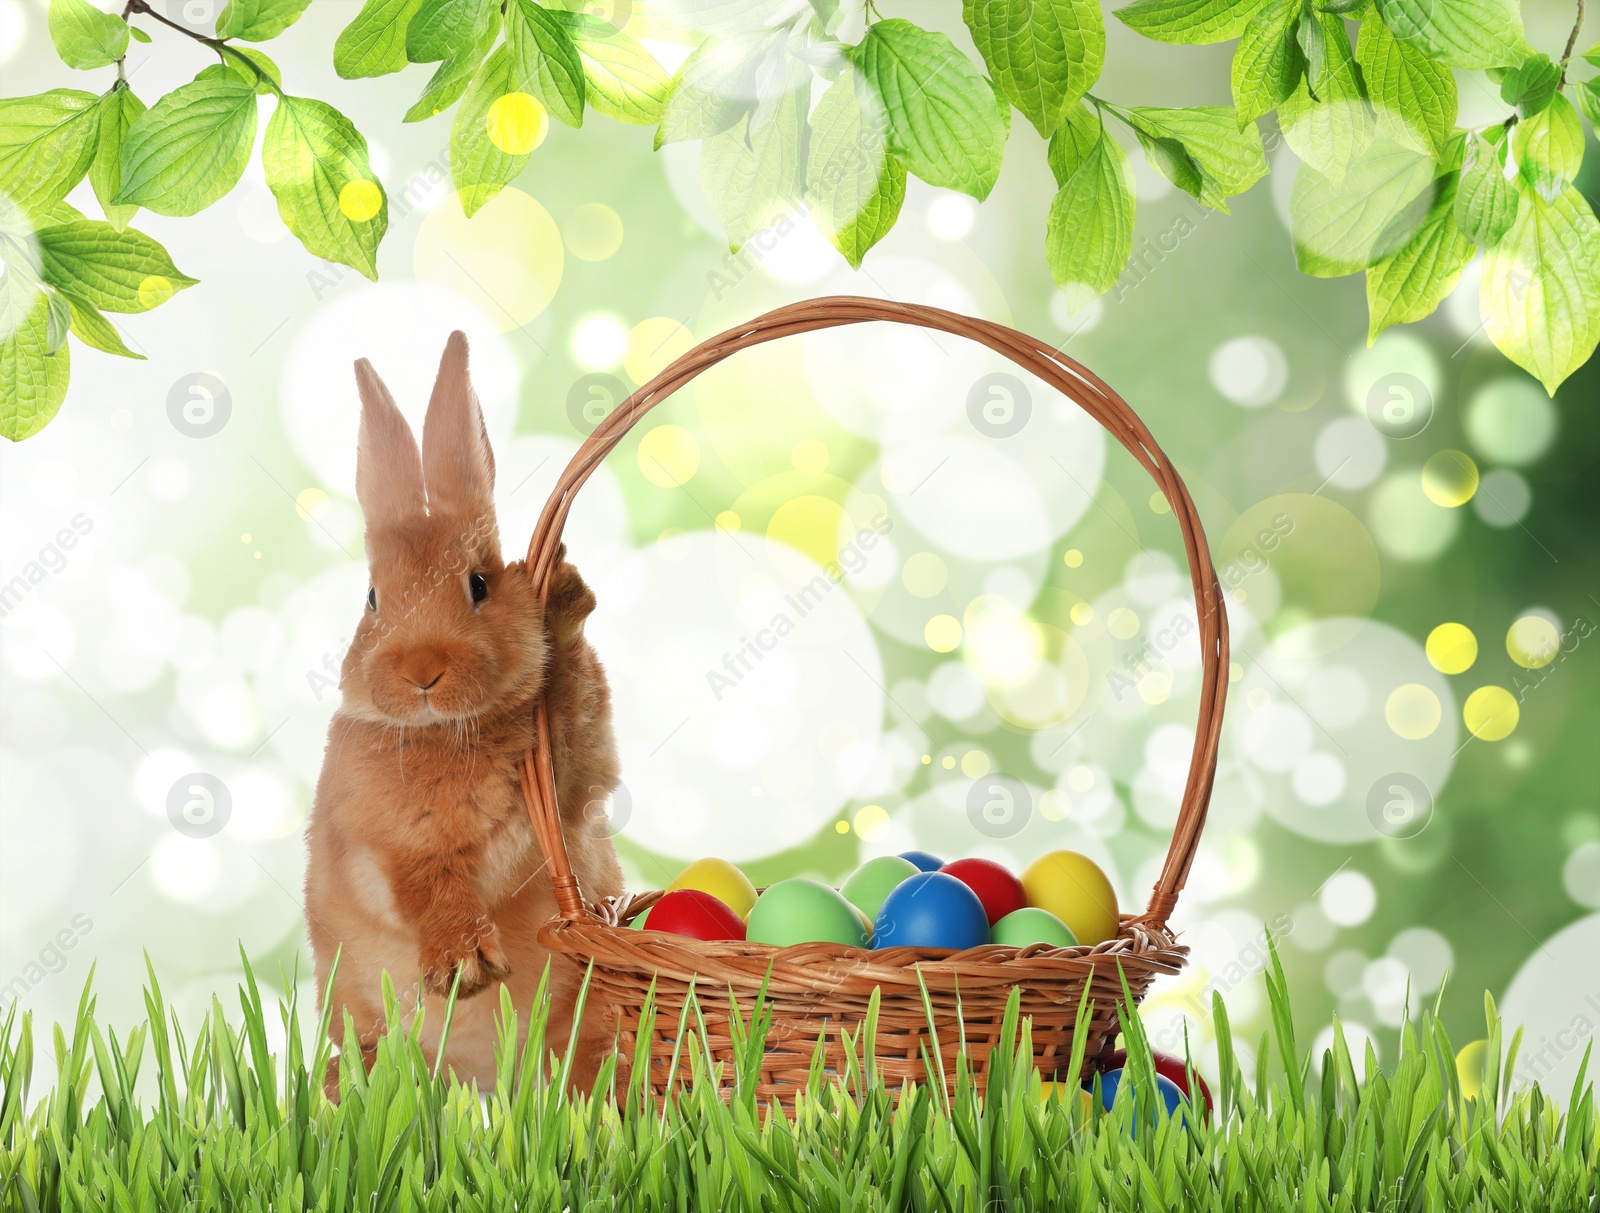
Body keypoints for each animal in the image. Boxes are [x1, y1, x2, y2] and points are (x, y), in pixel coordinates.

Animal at [305, 332, 624, 1100]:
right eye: (372, 598)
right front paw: (464, 967)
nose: (422, 671)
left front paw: (562, 589)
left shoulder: (574, 784)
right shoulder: (382, 844)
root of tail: (483, 1082)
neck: (449, 731)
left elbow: (576, 721)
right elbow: (427, 888)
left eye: (479, 584)